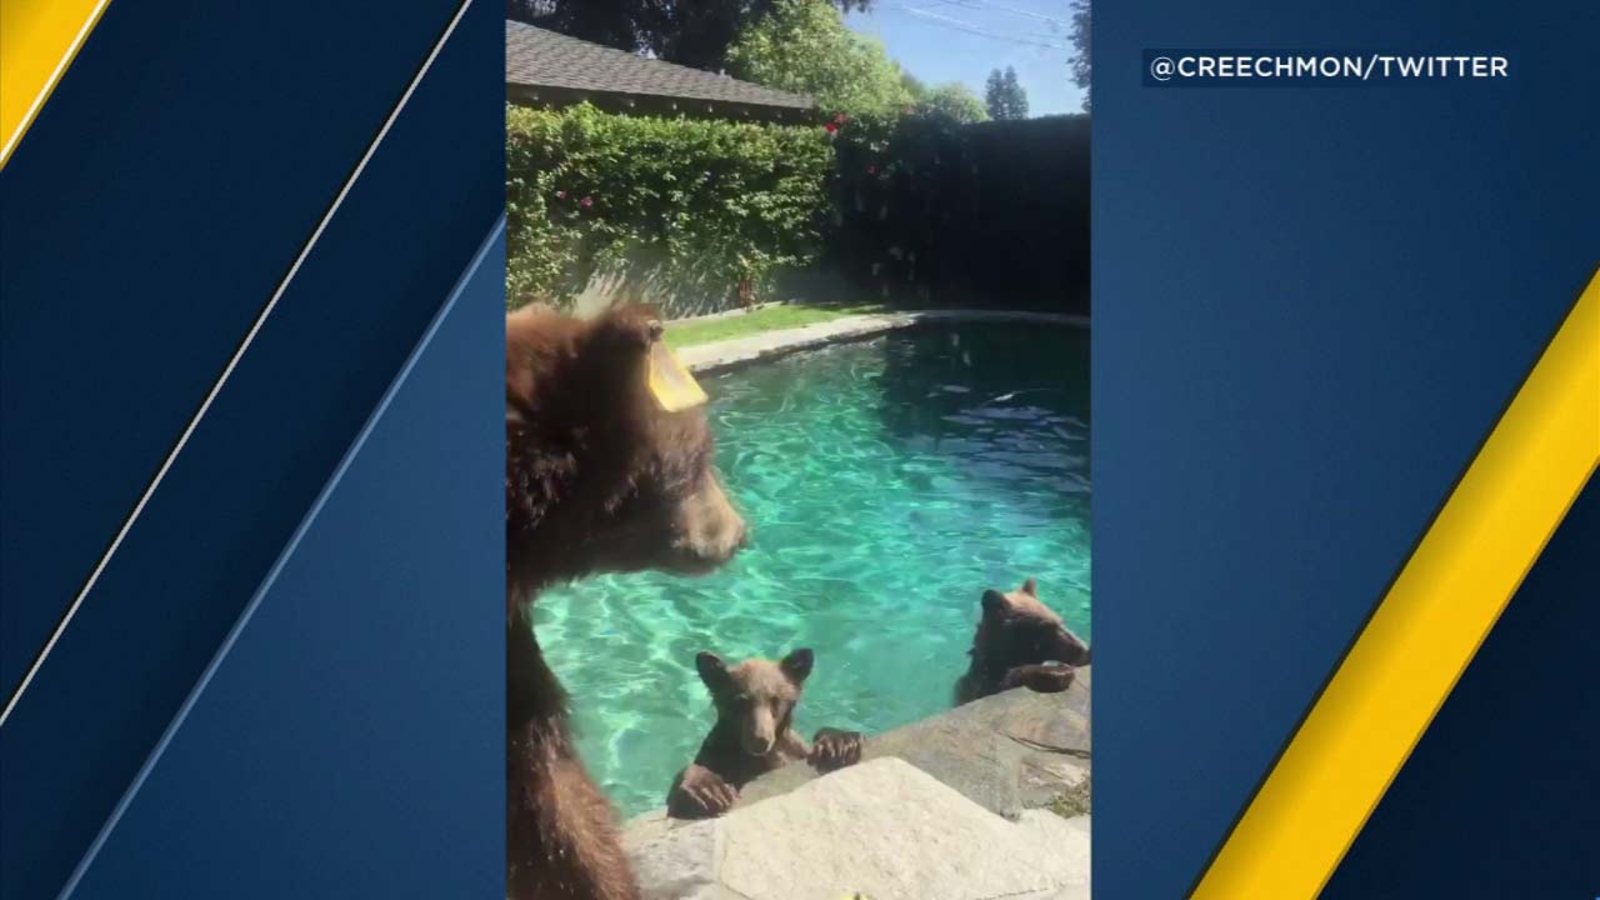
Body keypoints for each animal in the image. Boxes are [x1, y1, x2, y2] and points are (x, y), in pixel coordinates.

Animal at [666, 648, 864, 820]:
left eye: (775, 700)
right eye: (740, 701)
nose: (759, 740)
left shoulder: (791, 751)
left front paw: (840, 744)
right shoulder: (719, 756)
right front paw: (708, 790)